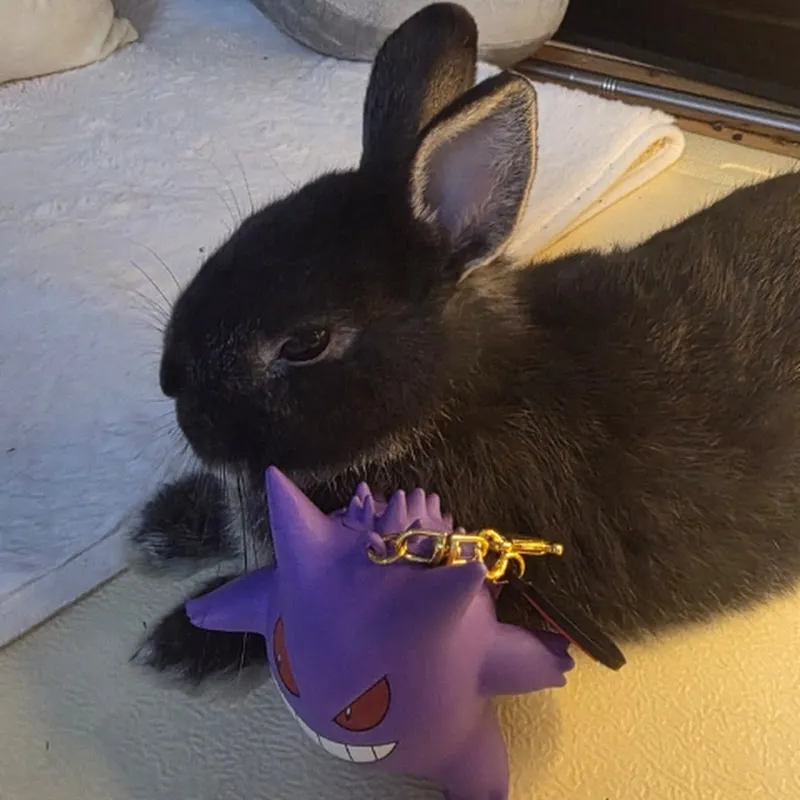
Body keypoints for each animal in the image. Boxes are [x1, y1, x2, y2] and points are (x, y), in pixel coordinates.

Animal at [130, 1, 800, 685]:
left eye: (306, 343)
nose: (170, 380)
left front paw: (180, 635)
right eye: (246, 229)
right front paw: (164, 521)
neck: (439, 405)